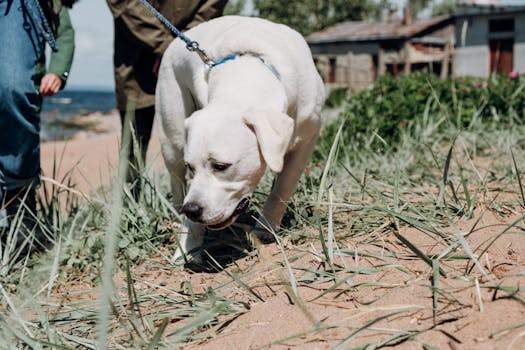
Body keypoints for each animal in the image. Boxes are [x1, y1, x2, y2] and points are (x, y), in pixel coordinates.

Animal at [156, 16, 324, 262]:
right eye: (191, 167)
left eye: (221, 166)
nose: (192, 210)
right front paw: (188, 248)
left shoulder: (306, 140)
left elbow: (282, 189)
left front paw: (265, 229)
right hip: (172, 141)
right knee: (176, 181)